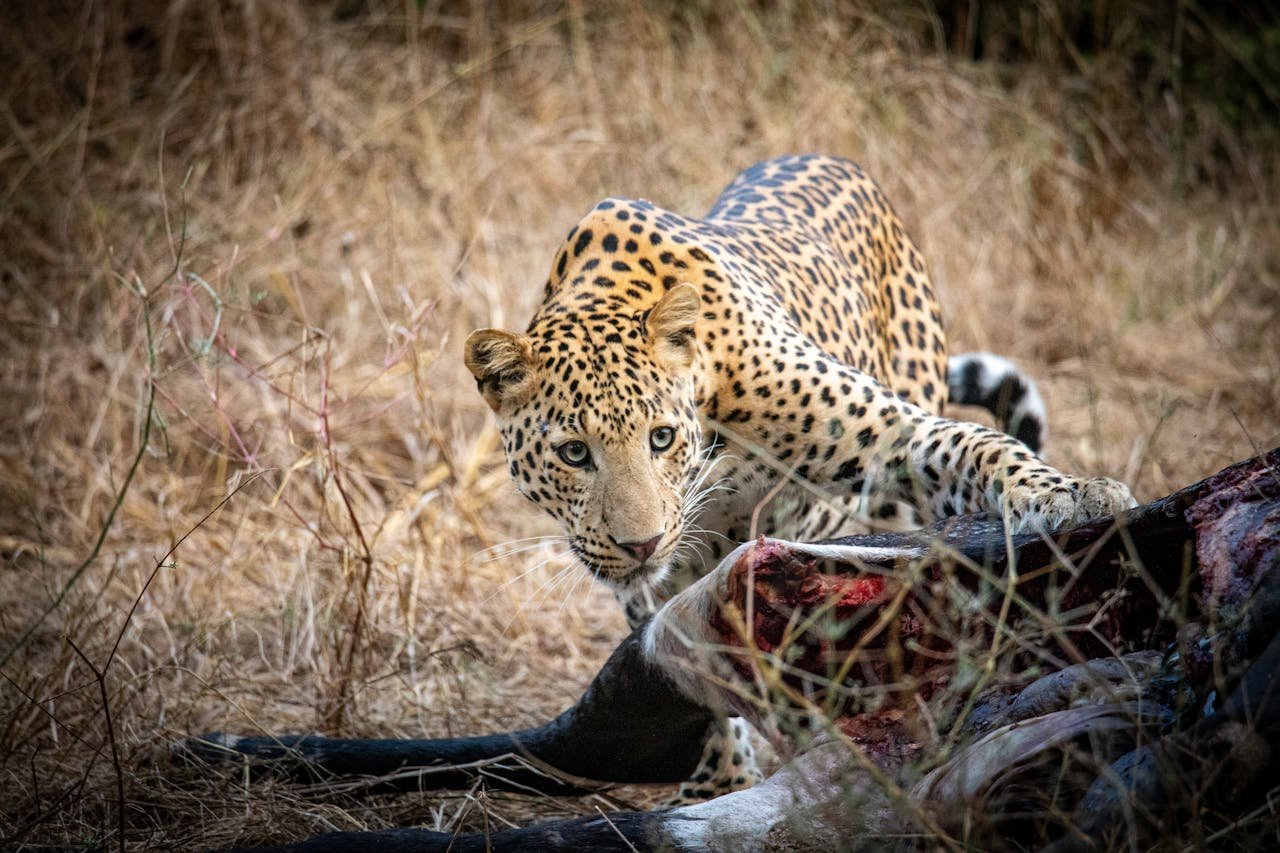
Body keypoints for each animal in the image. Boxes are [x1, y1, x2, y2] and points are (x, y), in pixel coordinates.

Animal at [465, 154, 1134, 802]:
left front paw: (1070, 493)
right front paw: (721, 780)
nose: (642, 544)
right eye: (575, 453)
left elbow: (978, 444)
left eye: (661, 438)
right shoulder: (658, 578)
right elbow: (685, 656)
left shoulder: (892, 432)